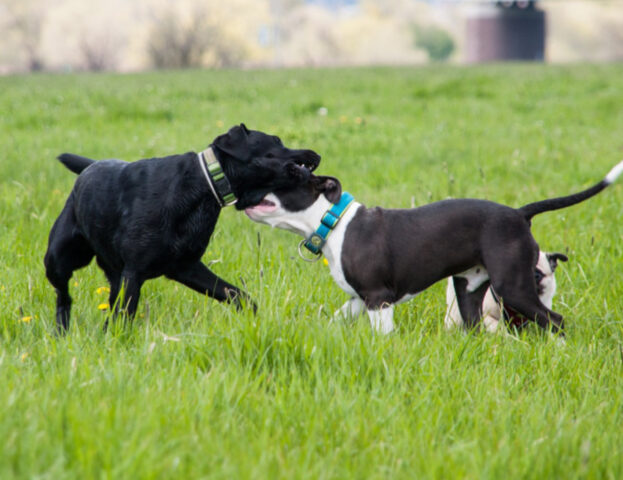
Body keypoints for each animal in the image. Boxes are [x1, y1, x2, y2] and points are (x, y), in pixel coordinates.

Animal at [42, 124, 322, 330]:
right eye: (276, 141)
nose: (315, 153)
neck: (202, 186)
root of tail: (90, 166)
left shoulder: (186, 267)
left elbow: (239, 296)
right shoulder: (134, 273)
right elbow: (125, 315)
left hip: (112, 274)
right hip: (58, 259)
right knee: (63, 296)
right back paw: (61, 331)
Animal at [245, 161, 623, 334]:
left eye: (288, 173)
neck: (334, 221)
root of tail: (519, 213)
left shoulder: (378, 298)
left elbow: (383, 335)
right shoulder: (357, 299)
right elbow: (334, 321)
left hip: (513, 286)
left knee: (555, 320)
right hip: (469, 289)